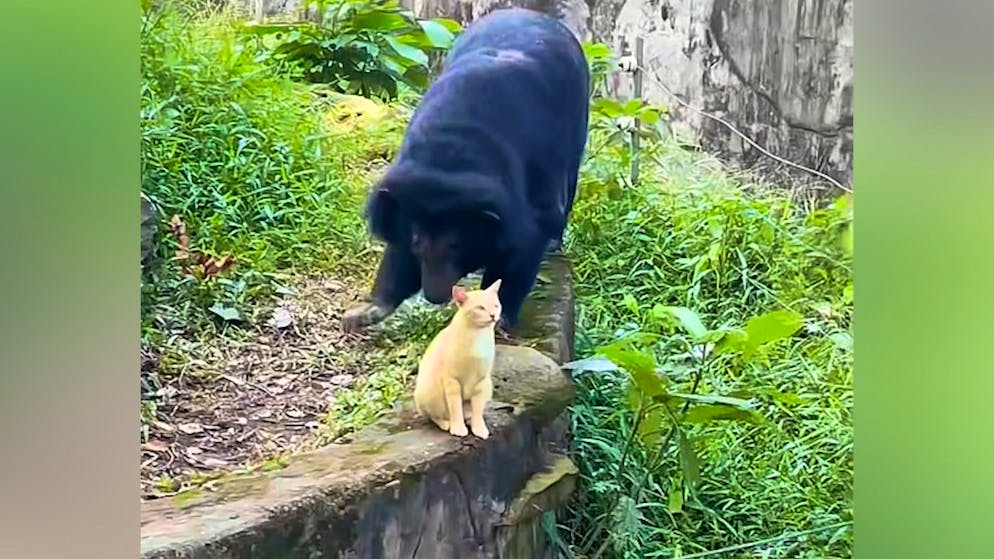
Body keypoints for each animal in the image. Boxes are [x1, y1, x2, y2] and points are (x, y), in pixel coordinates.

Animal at [342, 7, 590, 335]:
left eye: (457, 245)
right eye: (417, 241)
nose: (434, 295)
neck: (451, 158)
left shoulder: (528, 192)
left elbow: (521, 249)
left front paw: (498, 320)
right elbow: (396, 255)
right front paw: (363, 313)